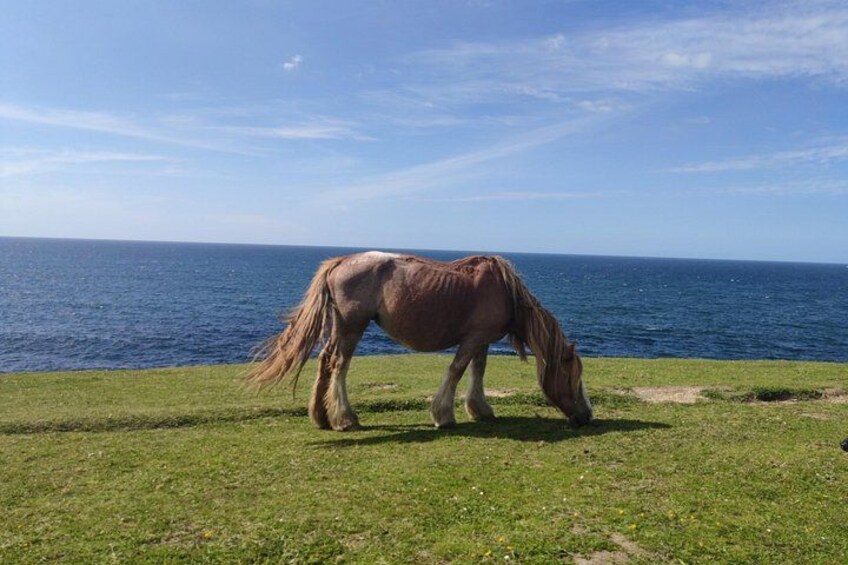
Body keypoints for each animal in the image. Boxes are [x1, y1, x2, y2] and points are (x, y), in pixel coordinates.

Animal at [246, 251, 592, 431]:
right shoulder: (473, 339)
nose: (587, 416)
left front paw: (480, 409)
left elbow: (477, 372)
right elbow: (457, 371)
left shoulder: (481, 341)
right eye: (571, 376)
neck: (505, 291)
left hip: (340, 327)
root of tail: (341, 261)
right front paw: (443, 415)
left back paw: (320, 416)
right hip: (352, 326)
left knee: (325, 361)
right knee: (339, 365)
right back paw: (344, 418)